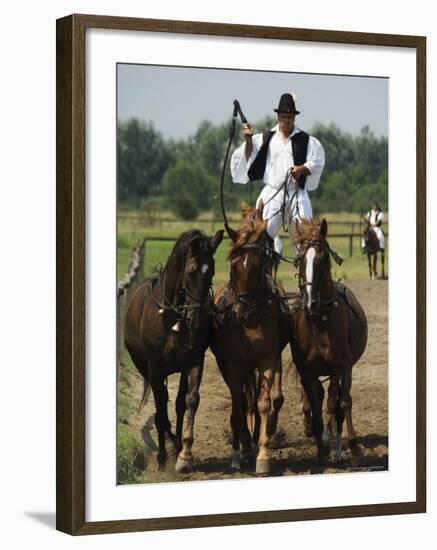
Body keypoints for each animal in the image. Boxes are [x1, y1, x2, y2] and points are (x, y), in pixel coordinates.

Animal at [124, 231, 223, 472]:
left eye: (211, 270)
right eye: (191, 271)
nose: (196, 319)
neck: (173, 317)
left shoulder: (194, 362)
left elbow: (188, 402)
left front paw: (183, 453)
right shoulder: (155, 370)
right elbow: (161, 410)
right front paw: (162, 457)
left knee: (175, 404)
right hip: (144, 368)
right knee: (161, 406)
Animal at [210, 203, 290, 474]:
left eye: (257, 265)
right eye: (234, 265)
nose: (240, 312)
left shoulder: (268, 359)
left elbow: (264, 403)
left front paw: (263, 454)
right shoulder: (234, 365)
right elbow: (238, 407)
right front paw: (239, 452)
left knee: (257, 400)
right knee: (244, 402)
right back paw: (244, 445)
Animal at [290, 219, 368, 466]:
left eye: (322, 258)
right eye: (300, 259)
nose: (309, 303)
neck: (320, 321)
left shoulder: (343, 367)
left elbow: (343, 404)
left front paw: (353, 449)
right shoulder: (307, 371)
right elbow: (317, 406)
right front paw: (321, 451)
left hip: (338, 370)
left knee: (336, 402)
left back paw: (339, 448)